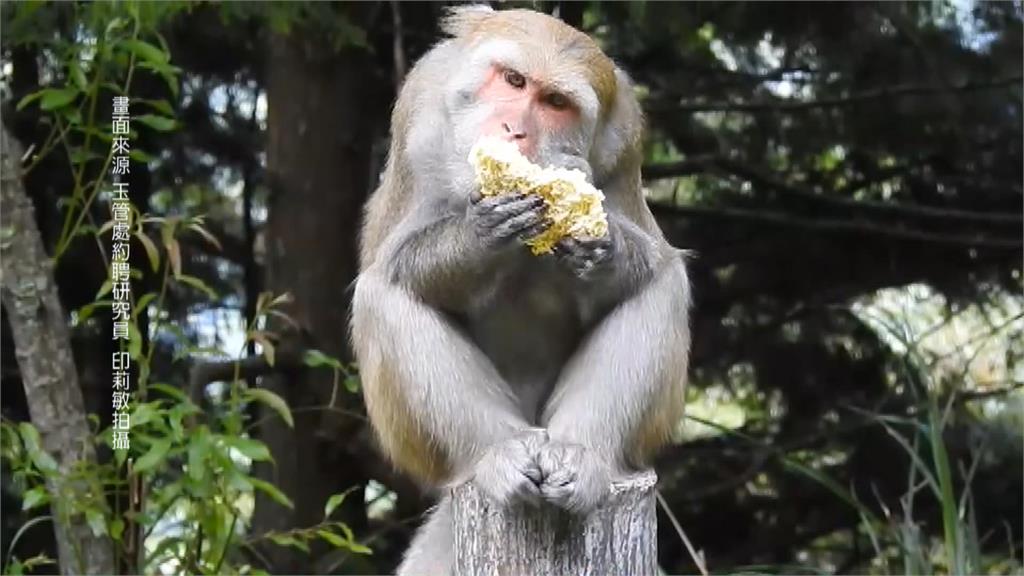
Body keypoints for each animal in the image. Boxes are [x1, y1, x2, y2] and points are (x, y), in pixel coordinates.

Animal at [348, 6, 692, 569]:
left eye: (555, 103)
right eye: (513, 81)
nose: (514, 132)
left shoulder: (626, 141)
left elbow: (651, 262)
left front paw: (604, 243)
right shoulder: (419, 115)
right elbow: (391, 261)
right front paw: (481, 233)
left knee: (663, 286)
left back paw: (584, 456)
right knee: (382, 295)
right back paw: (496, 455)